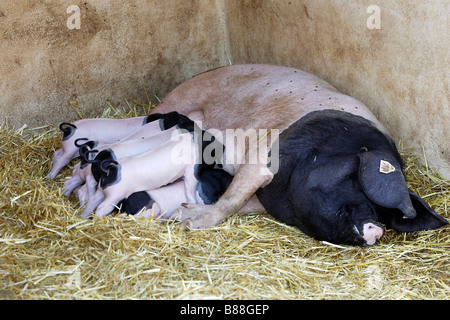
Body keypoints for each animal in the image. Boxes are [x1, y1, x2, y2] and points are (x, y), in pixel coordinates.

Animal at [145, 63, 446, 246]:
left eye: (384, 212)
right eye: (357, 181)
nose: (376, 229)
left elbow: (240, 203)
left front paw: (182, 214)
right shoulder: (262, 155)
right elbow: (232, 198)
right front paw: (184, 219)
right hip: (181, 97)